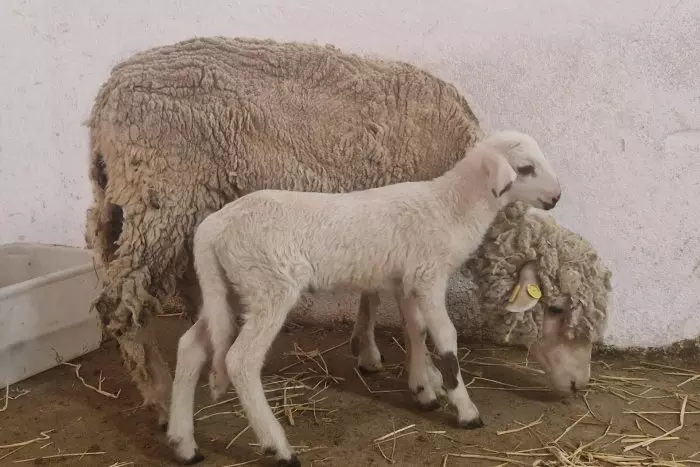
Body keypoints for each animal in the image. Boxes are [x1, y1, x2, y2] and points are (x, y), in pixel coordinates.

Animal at [85, 35, 484, 428]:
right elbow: (411, 315)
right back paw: (160, 396)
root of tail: (106, 96)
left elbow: (371, 292)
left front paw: (368, 352)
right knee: (121, 303)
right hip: (163, 198)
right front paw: (427, 378)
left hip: (126, 205)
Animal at [168, 130, 564, 466]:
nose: (557, 197)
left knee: (191, 346)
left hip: (230, 288)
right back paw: (277, 446)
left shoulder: (407, 280)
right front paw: (464, 408)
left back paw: (183, 443)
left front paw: (424, 388)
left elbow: (415, 330)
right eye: (525, 169)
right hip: (269, 284)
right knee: (240, 360)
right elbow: (445, 338)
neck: (451, 207)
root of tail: (212, 228)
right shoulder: (429, 275)